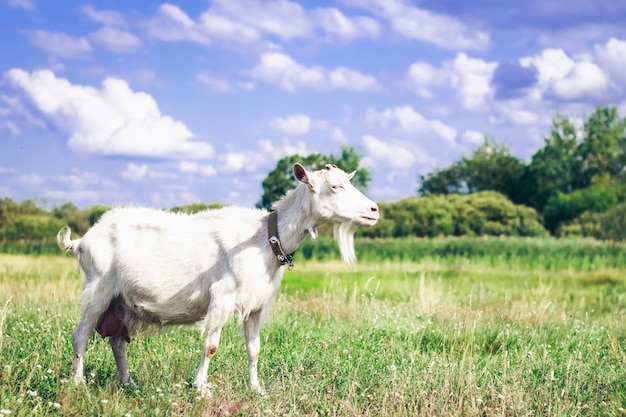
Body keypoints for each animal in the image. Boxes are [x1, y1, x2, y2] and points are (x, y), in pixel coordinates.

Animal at [57, 161, 380, 394]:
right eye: (336, 186)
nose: (374, 210)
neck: (265, 238)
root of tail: (82, 240)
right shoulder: (221, 298)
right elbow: (211, 345)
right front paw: (201, 389)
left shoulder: (256, 304)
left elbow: (254, 349)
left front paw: (257, 390)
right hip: (97, 289)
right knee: (80, 335)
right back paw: (78, 384)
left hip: (120, 302)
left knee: (117, 341)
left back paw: (129, 384)